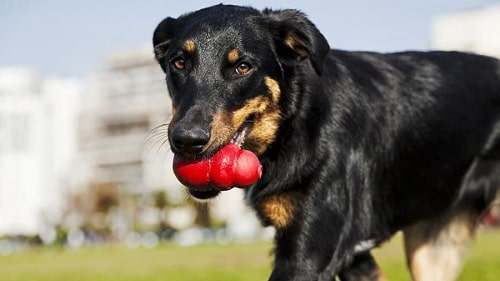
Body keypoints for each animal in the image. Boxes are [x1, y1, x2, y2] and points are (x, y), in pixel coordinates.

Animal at [152, 4, 500, 280]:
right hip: (430, 249)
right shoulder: (353, 258)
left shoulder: (308, 255)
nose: (187, 140)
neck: (296, 122)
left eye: (242, 67)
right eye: (179, 63)